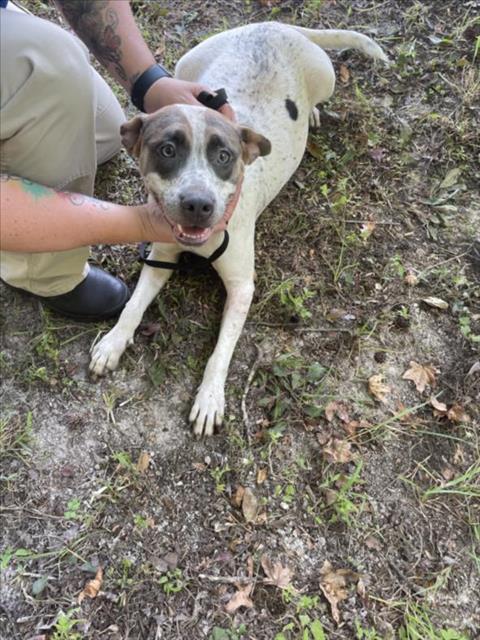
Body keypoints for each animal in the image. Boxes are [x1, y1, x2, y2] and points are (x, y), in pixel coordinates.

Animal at [91, 22, 390, 438]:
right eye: (167, 150)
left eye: (224, 156)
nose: (198, 205)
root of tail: (276, 25)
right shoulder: (160, 257)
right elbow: (134, 305)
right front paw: (113, 342)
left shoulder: (242, 287)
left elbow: (222, 350)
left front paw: (210, 397)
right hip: (189, 61)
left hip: (326, 76)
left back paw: (312, 111)